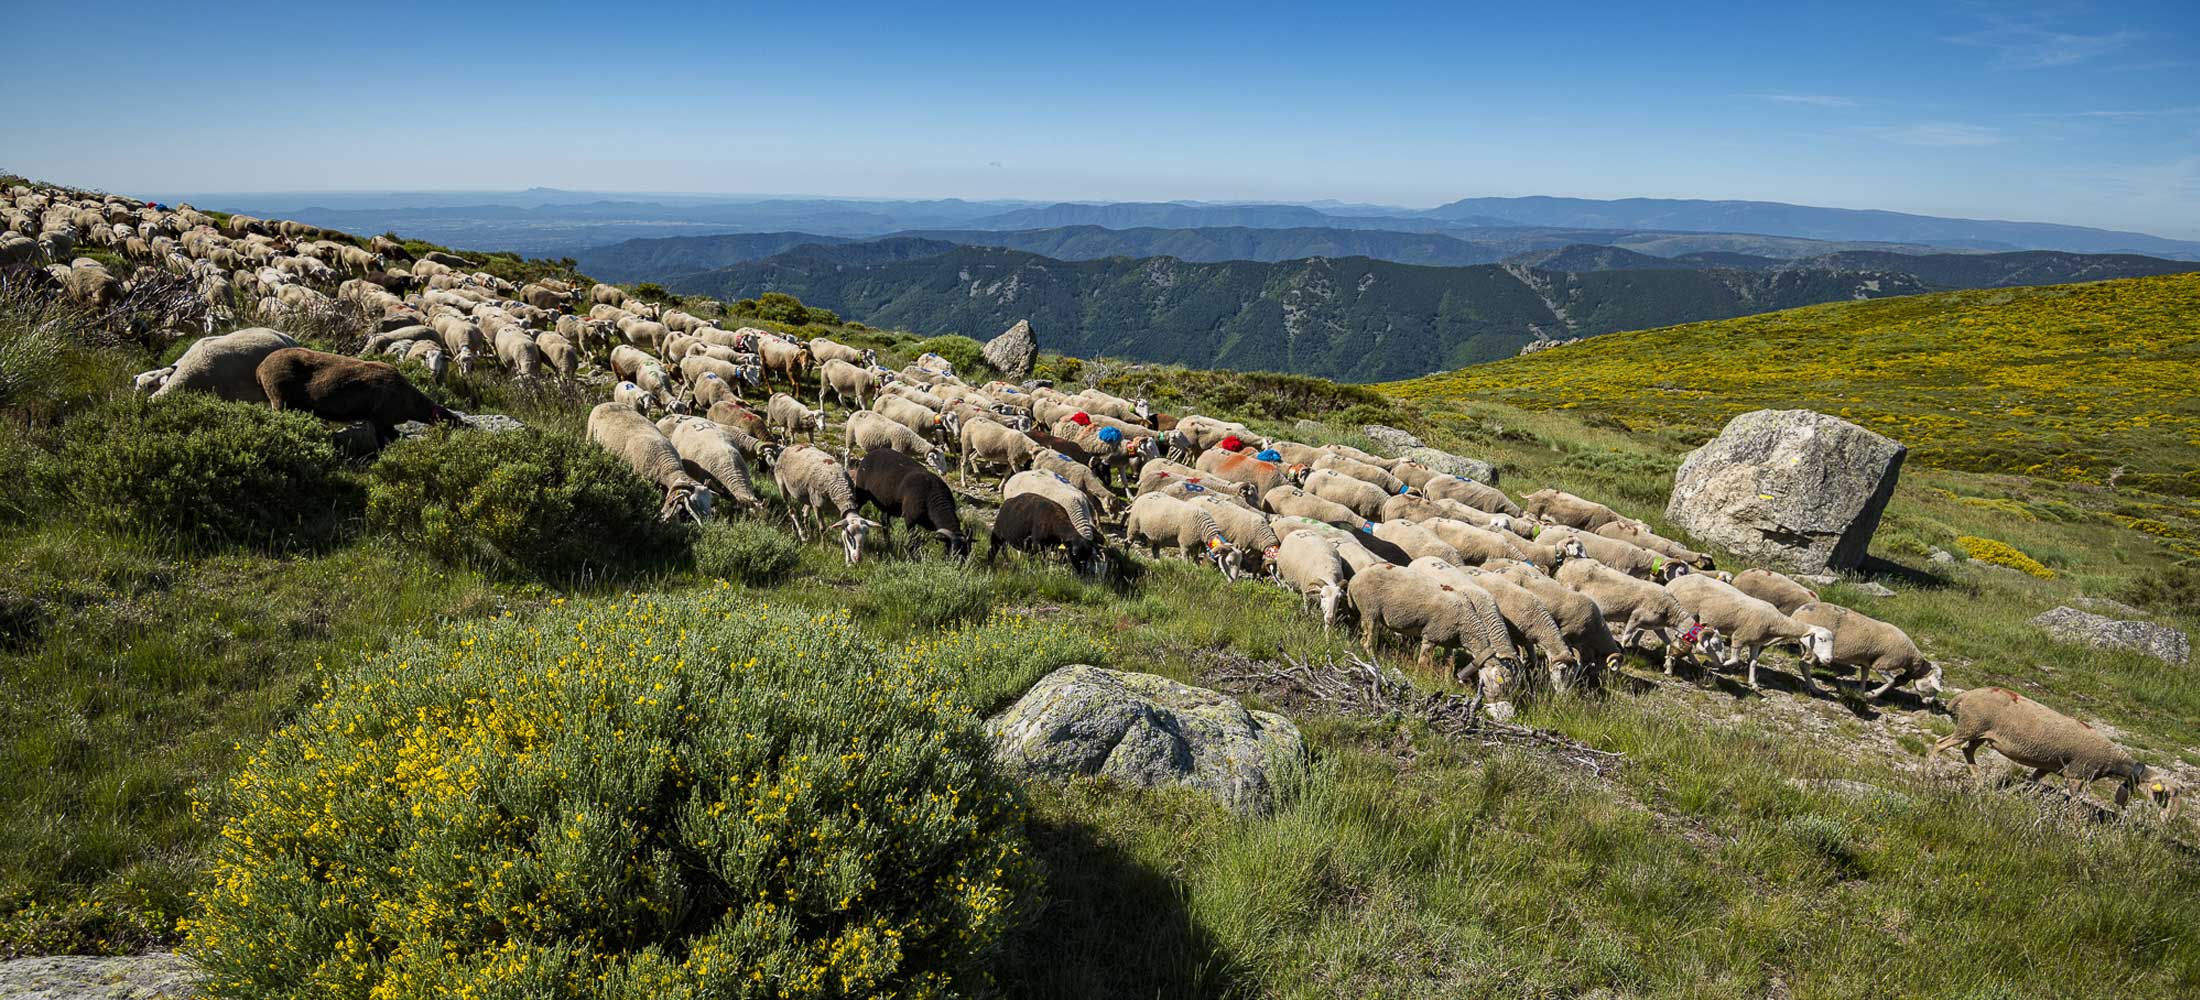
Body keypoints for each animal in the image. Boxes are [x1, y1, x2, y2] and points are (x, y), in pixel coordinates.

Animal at [1663, 571, 1839, 690]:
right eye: (1821, 639)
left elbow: (1753, 662)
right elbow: (1734, 660)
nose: (1829, 660)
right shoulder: (1739, 636)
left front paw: (1753, 683)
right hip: (1687, 613)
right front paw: (1714, 663)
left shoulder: (1755, 642)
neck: (1775, 621)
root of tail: (1675, 582)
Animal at [1786, 602, 1944, 703]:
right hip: (1816, 649)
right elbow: (1891, 682)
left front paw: (1861, 693)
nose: (1929, 702)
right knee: (1804, 665)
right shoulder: (1883, 663)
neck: (1911, 657)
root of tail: (1798, 612)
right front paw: (1872, 694)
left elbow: (1864, 677)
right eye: (1935, 685)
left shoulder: (1866, 662)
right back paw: (1814, 688)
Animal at [1927, 694, 2164, 808]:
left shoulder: (2049, 766)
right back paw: (1929, 771)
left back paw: (1979, 781)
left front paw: (2013, 795)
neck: (2113, 761)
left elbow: (2032, 782)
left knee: (1967, 750)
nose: (2168, 820)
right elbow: (2075, 803)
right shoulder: (2077, 774)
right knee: (1940, 743)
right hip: (1971, 727)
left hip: (1979, 733)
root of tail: (1967, 694)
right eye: (2163, 793)